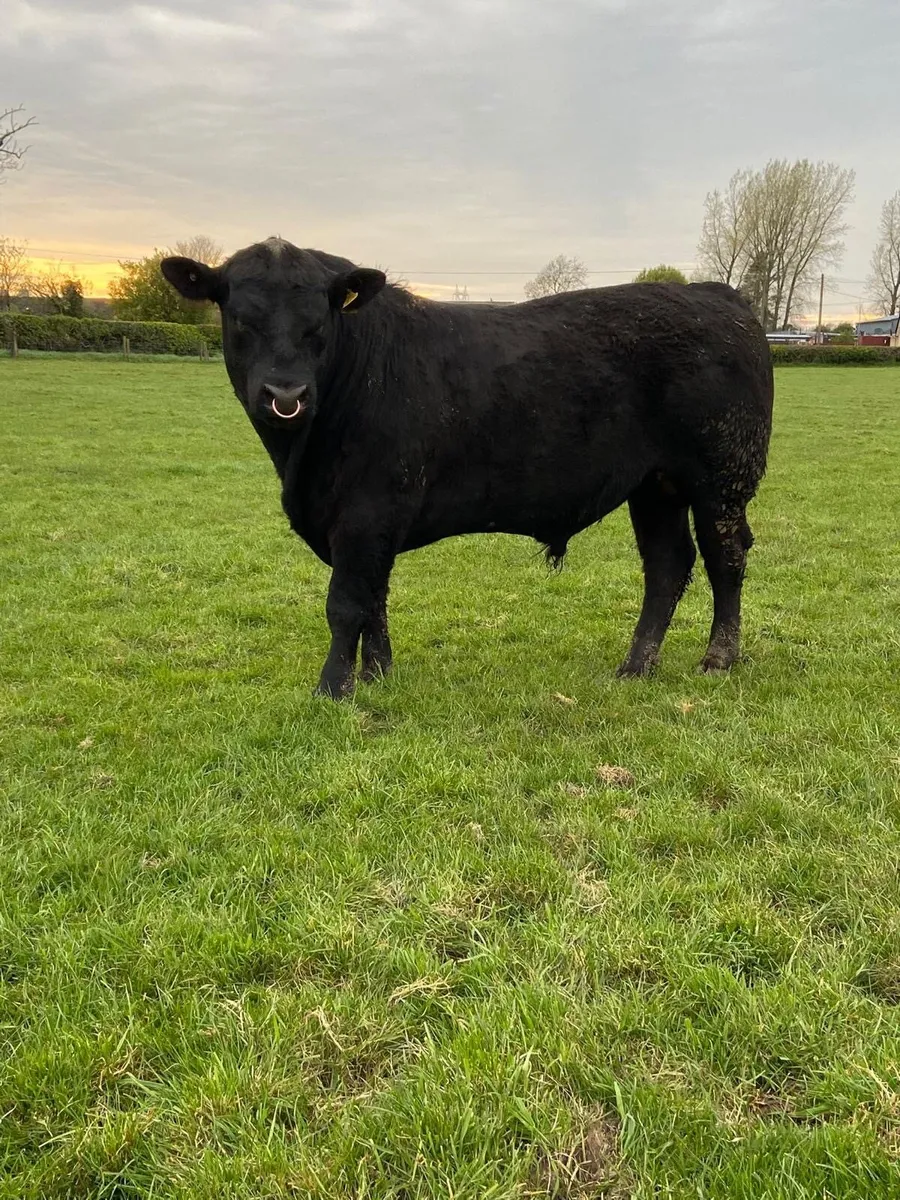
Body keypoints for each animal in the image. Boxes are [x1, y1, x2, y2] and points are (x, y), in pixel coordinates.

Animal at [161, 239, 773, 699]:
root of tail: (712, 294)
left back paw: (719, 657)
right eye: (241, 318)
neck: (300, 460)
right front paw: (378, 676)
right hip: (655, 486)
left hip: (722, 476)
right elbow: (375, 601)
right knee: (668, 565)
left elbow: (346, 604)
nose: (285, 395)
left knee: (725, 557)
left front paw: (333, 689)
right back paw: (635, 666)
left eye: (319, 322)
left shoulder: (366, 512)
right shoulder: (372, 523)